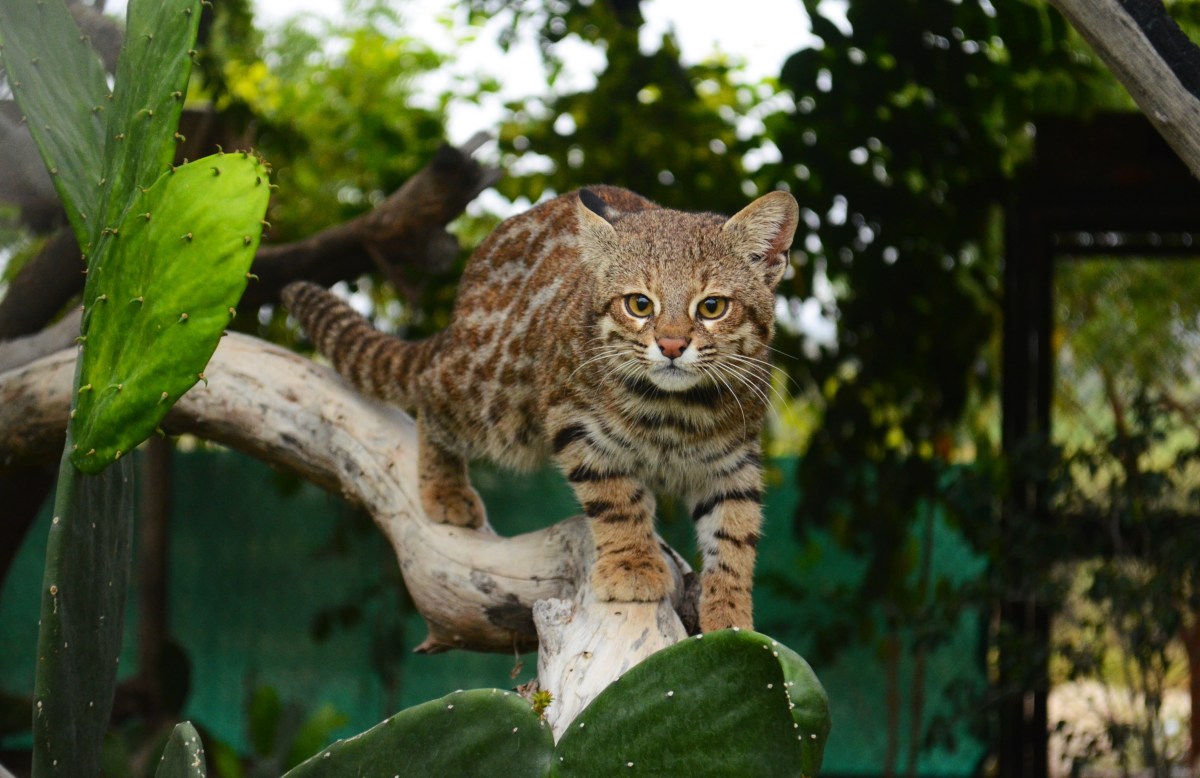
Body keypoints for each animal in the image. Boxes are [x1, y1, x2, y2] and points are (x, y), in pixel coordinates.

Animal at [280, 187, 796, 633]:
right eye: (639, 304)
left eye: (711, 307)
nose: (671, 346)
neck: (675, 405)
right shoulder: (578, 425)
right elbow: (616, 500)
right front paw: (631, 565)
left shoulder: (733, 461)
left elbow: (735, 536)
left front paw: (730, 610)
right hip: (493, 399)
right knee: (431, 393)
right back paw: (444, 489)